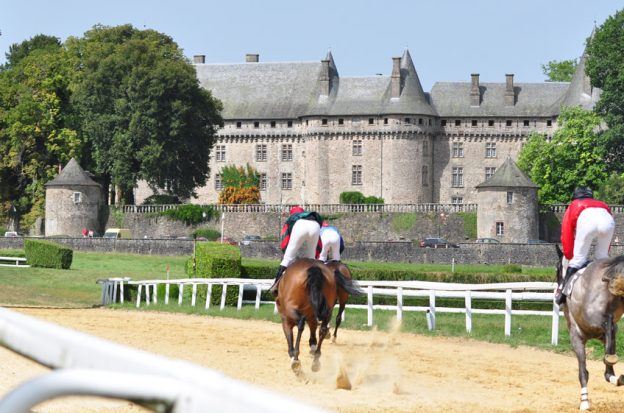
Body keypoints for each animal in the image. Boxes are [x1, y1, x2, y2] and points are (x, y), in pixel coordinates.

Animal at [560, 245, 624, 408]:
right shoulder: (597, 335)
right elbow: (605, 373)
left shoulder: (577, 335)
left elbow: (583, 371)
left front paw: (584, 401)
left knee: (608, 323)